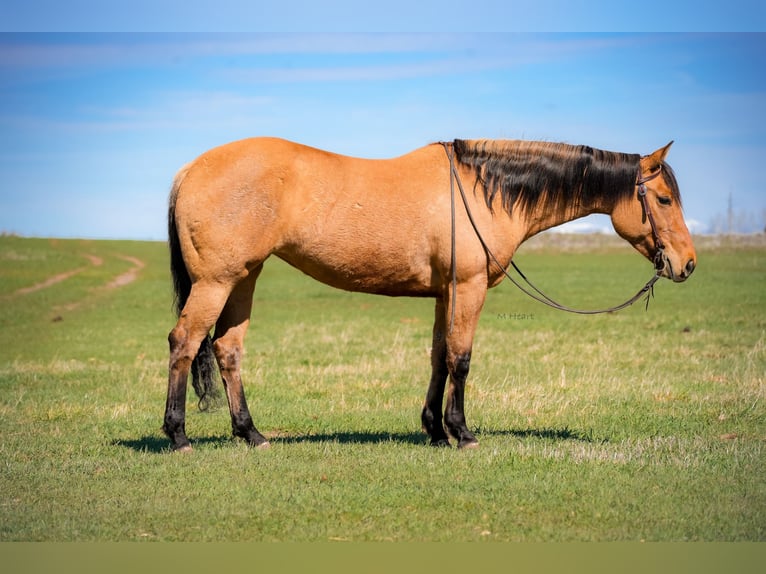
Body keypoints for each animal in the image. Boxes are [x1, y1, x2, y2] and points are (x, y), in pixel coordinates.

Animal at [163, 137, 696, 451]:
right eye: (664, 199)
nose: (687, 263)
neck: (482, 191)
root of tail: (189, 168)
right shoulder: (468, 288)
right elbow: (462, 358)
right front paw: (462, 432)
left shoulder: (445, 294)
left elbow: (439, 357)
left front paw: (435, 430)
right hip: (217, 282)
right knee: (184, 344)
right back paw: (179, 435)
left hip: (244, 278)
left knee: (227, 350)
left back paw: (251, 433)